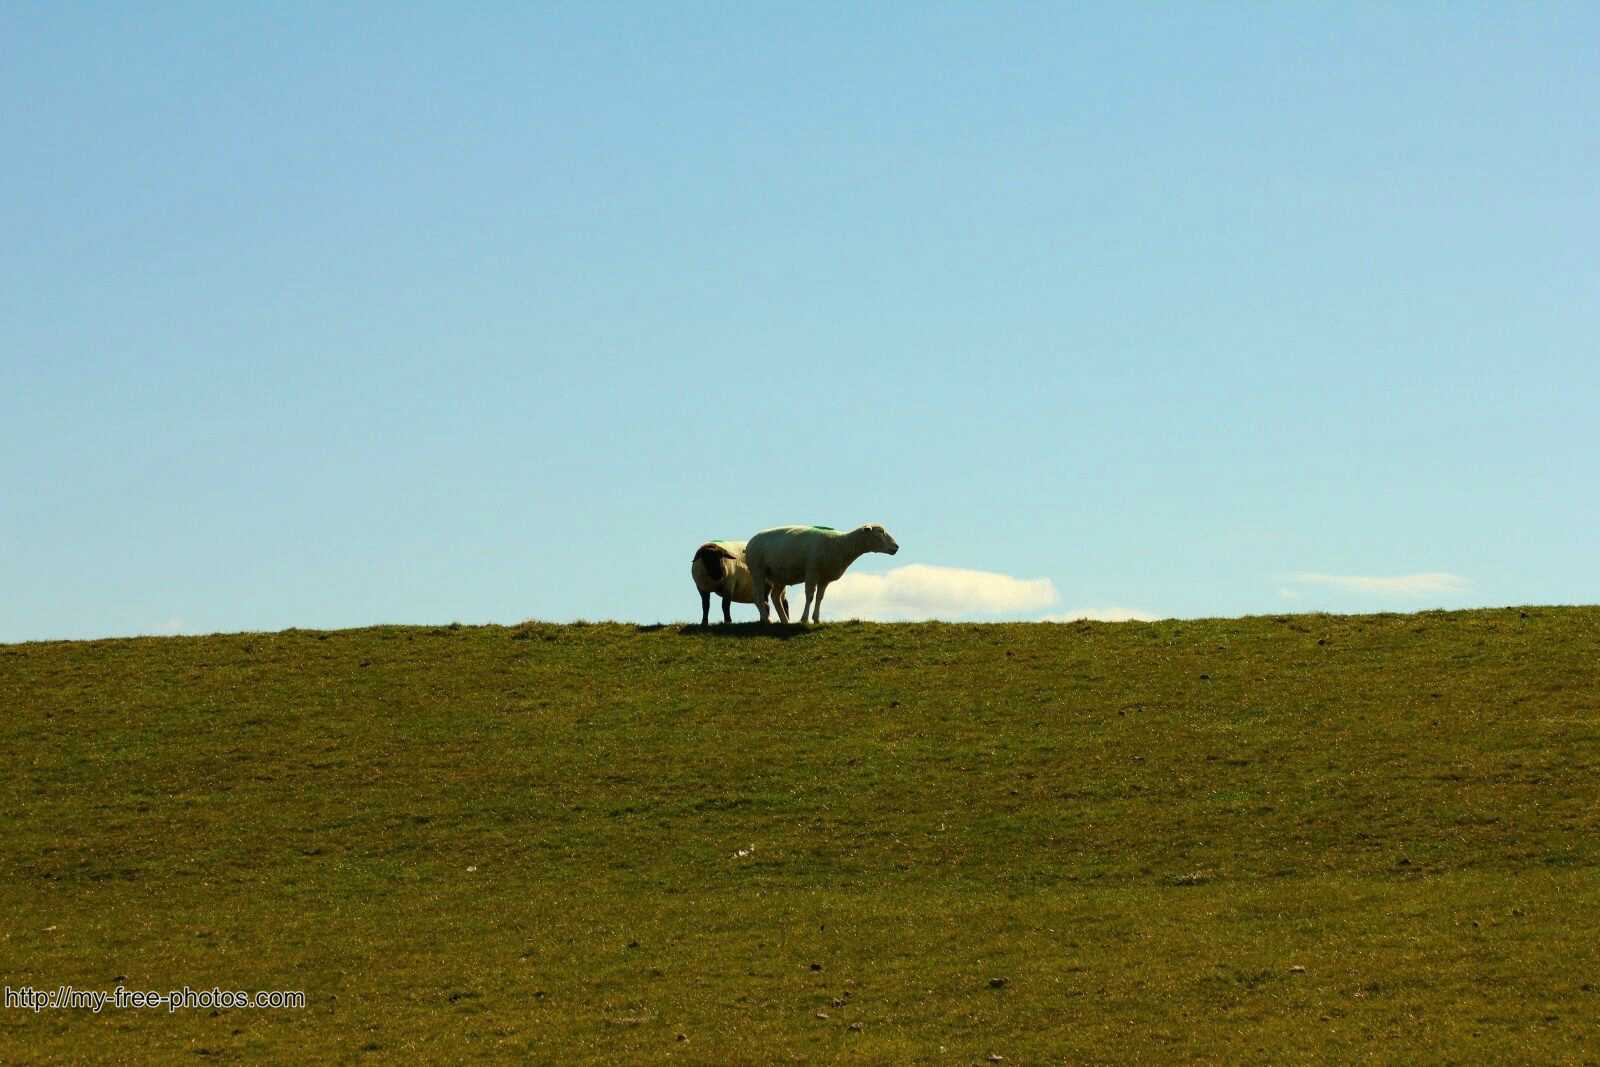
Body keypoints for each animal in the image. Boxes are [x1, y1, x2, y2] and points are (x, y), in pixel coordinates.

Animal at [745, 523, 899, 624]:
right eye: (880, 532)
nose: (896, 547)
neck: (842, 545)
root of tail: (751, 541)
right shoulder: (812, 572)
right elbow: (810, 596)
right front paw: (804, 619)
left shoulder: (825, 578)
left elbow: (820, 598)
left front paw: (816, 619)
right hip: (758, 570)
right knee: (758, 595)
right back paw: (766, 619)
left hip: (780, 576)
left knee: (775, 597)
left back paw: (785, 621)